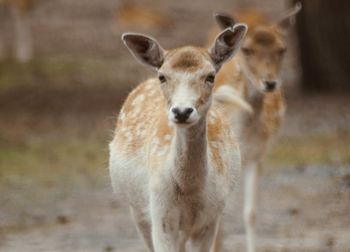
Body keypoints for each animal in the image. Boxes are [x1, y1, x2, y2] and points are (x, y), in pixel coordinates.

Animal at [108, 24, 246, 252]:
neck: (189, 191)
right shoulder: (160, 213)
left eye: (210, 76)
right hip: (137, 210)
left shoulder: (210, 218)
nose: (182, 111)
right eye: (163, 76)